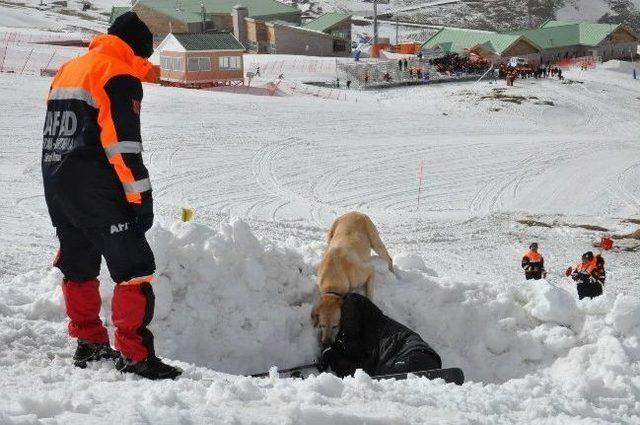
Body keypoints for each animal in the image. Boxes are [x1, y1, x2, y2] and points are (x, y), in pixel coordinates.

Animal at [312, 211, 392, 344]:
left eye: (335, 326)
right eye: (321, 325)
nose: (326, 342)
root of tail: (354, 212)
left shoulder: (369, 271)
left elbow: (369, 294)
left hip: (375, 240)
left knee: (388, 258)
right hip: (330, 235)